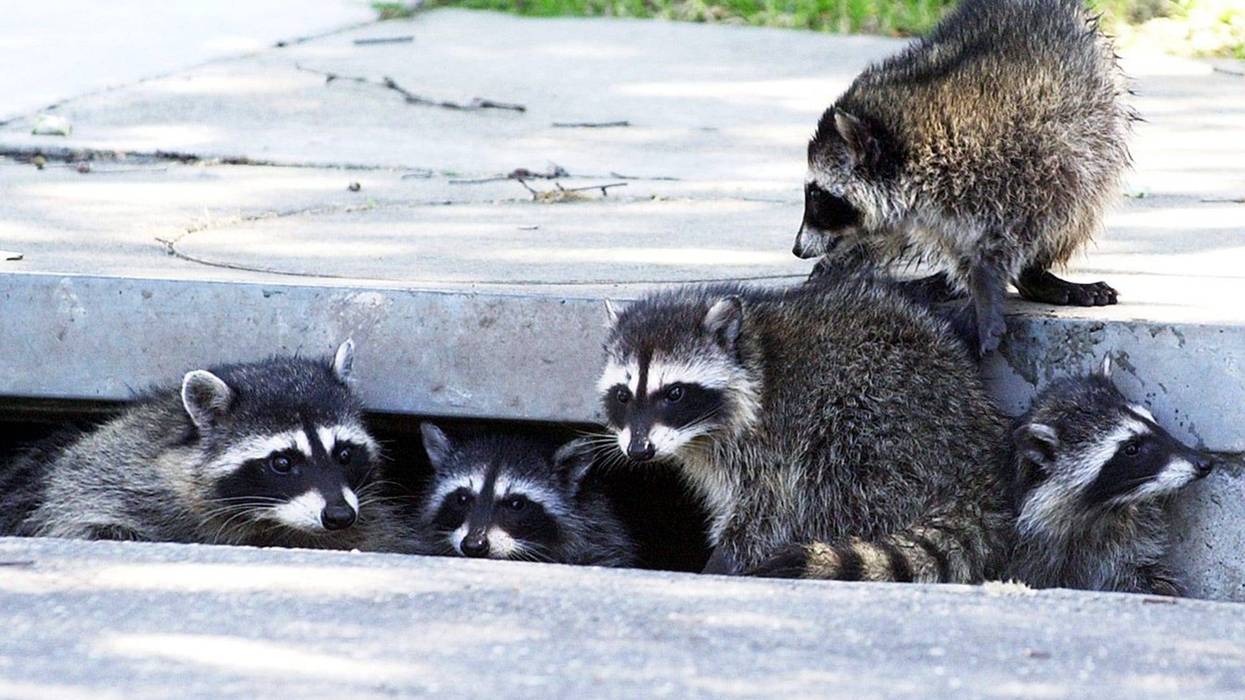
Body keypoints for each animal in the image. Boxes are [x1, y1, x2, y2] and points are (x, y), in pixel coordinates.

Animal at [1, 340, 417, 551]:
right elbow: (85, 517)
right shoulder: (108, 477)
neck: (269, 521)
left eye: (344, 454)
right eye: (282, 462)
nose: (339, 515)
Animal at [598, 277, 1012, 582]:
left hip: (886, 413)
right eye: (622, 395)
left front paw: (724, 559)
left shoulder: (771, 435)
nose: (639, 451)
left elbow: (768, 511)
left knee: (836, 474)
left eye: (675, 393)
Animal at [794, 0, 1134, 355]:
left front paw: (986, 284)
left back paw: (1032, 276)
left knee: (1076, 209)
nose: (797, 249)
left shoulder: (1019, 169)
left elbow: (1013, 233)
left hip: (1097, 145)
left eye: (816, 195)